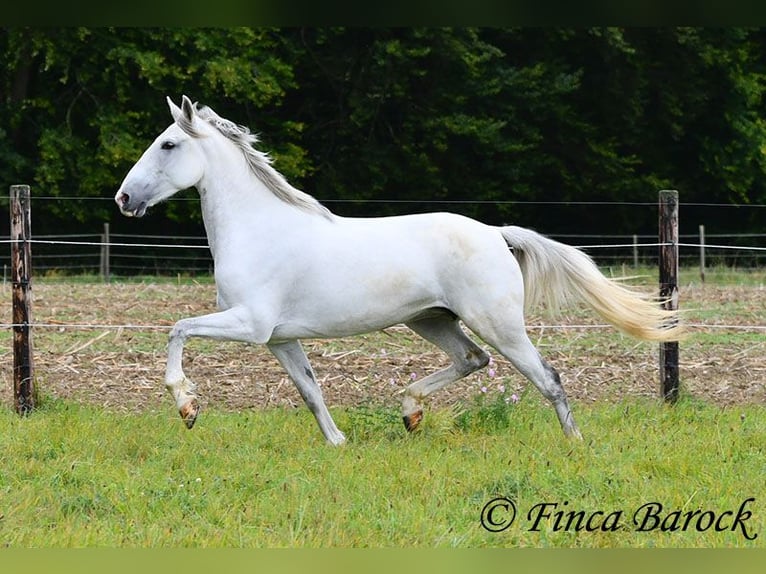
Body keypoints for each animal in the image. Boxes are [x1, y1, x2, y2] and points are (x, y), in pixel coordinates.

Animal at [115, 95, 684, 446]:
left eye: (168, 144)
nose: (124, 198)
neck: (259, 231)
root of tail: (495, 233)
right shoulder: (279, 337)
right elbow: (309, 389)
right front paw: (338, 442)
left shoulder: (250, 324)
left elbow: (176, 330)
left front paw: (187, 407)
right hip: (430, 319)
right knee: (473, 361)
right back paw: (410, 412)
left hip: (498, 323)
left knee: (547, 377)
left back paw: (575, 443)